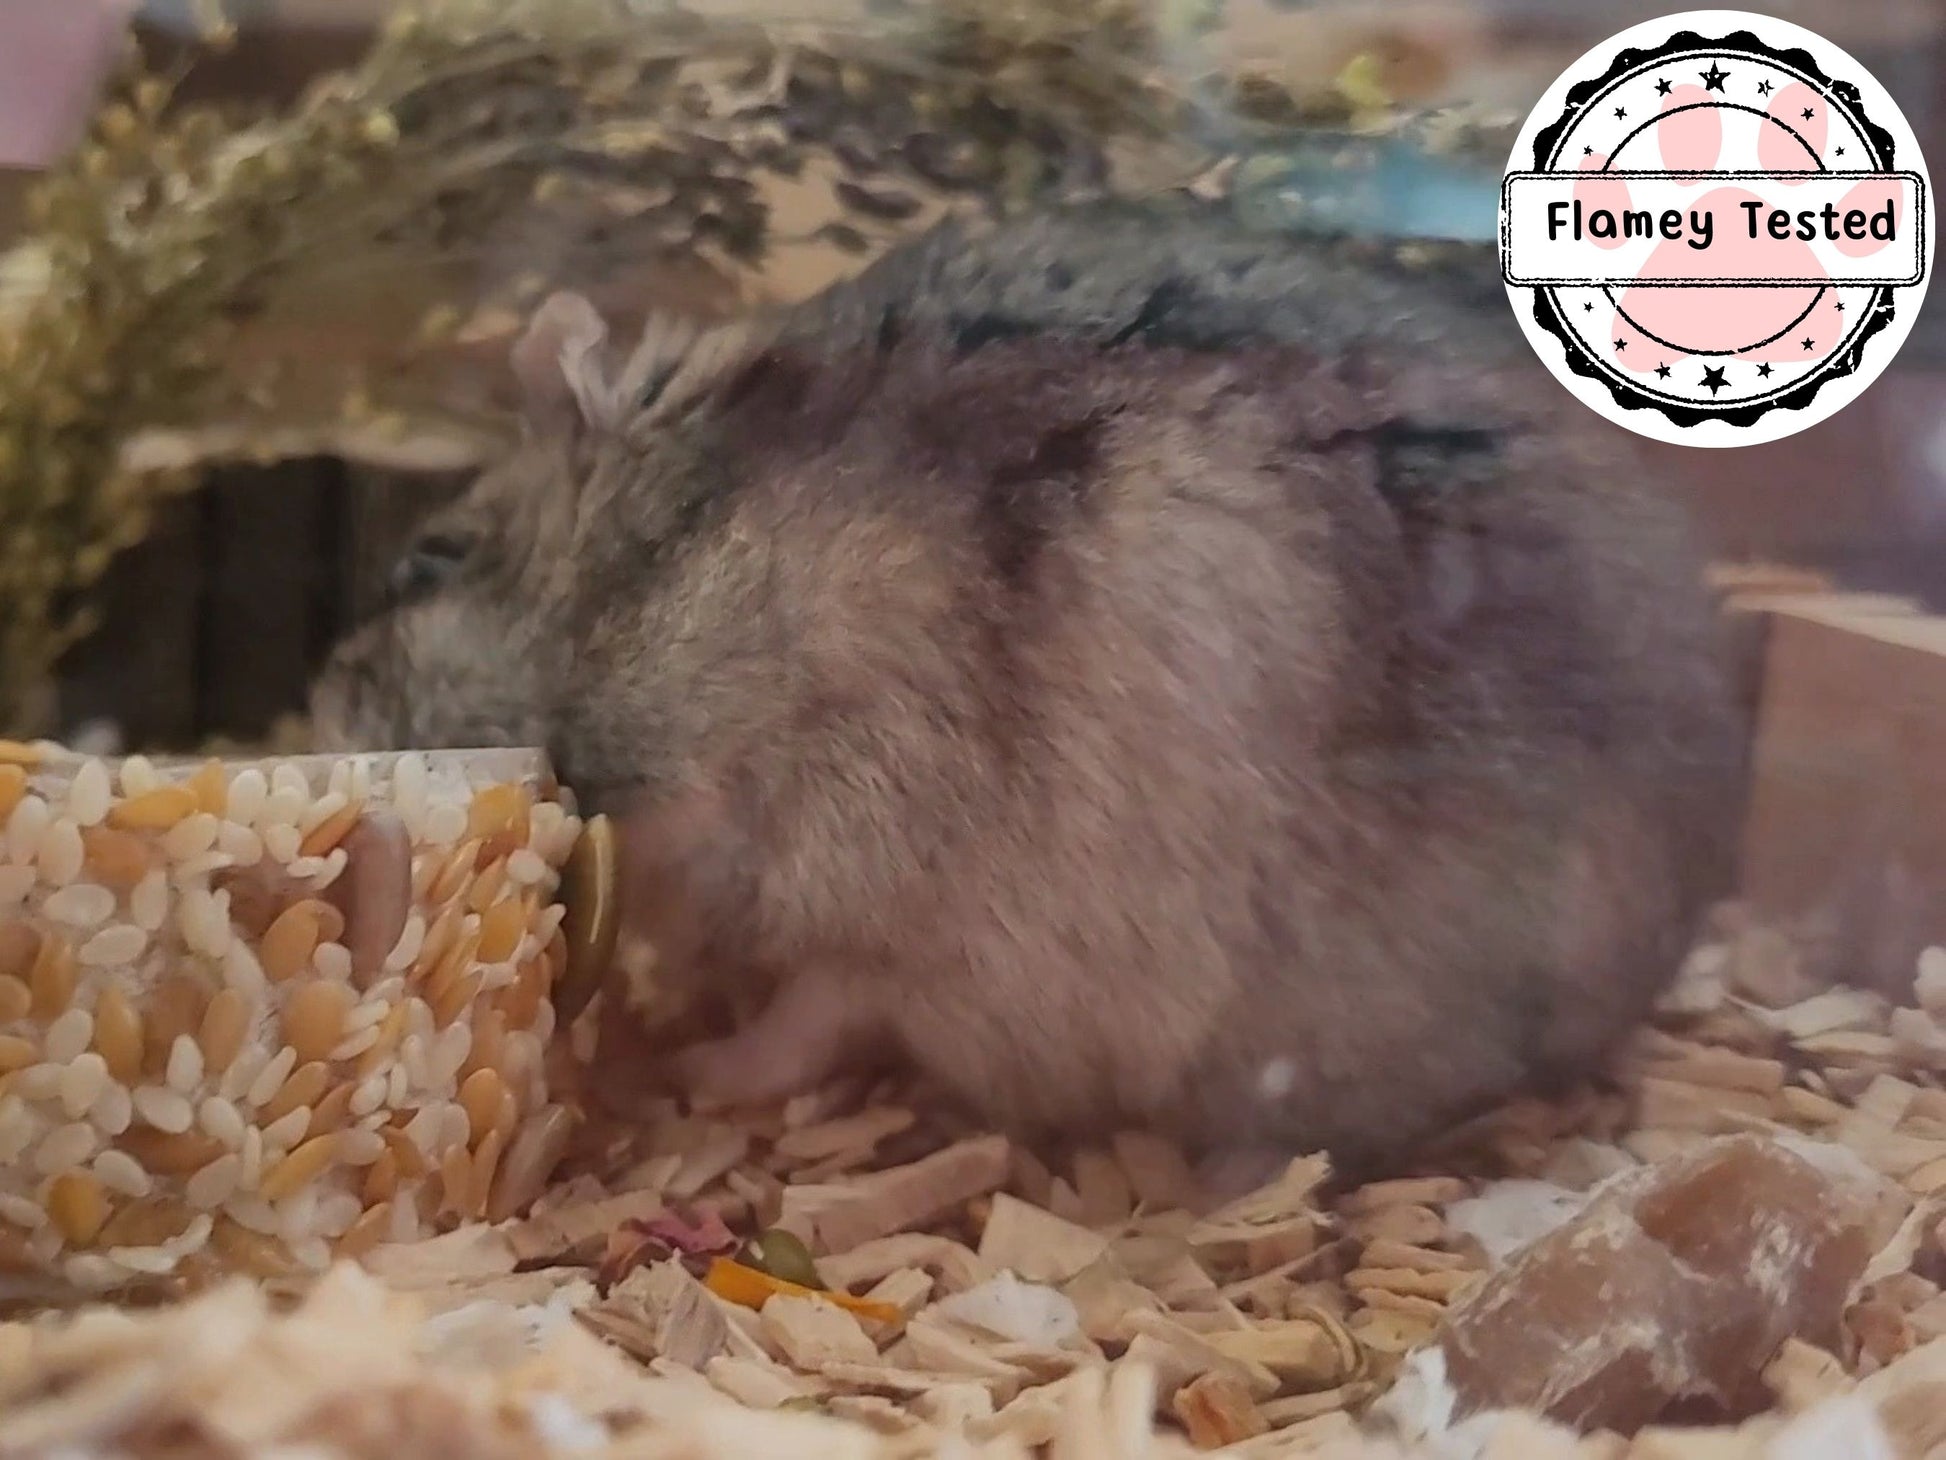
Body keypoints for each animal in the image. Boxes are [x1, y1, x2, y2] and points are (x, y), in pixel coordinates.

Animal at [312, 201, 1743, 1177]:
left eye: (425, 561)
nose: (325, 723)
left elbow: (812, 1011)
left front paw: (695, 1064)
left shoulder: (889, 877)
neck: (698, 584)